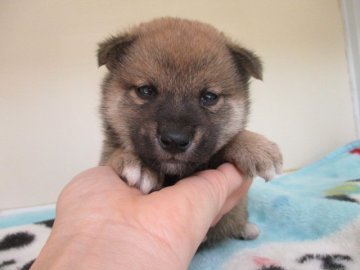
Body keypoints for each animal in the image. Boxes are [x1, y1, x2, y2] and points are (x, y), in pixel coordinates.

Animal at [97, 16, 282, 245]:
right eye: (145, 91)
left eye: (209, 97)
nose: (175, 140)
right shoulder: (105, 156)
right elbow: (114, 154)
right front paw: (137, 163)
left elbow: (230, 138)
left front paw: (257, 147)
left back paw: (245, 228)